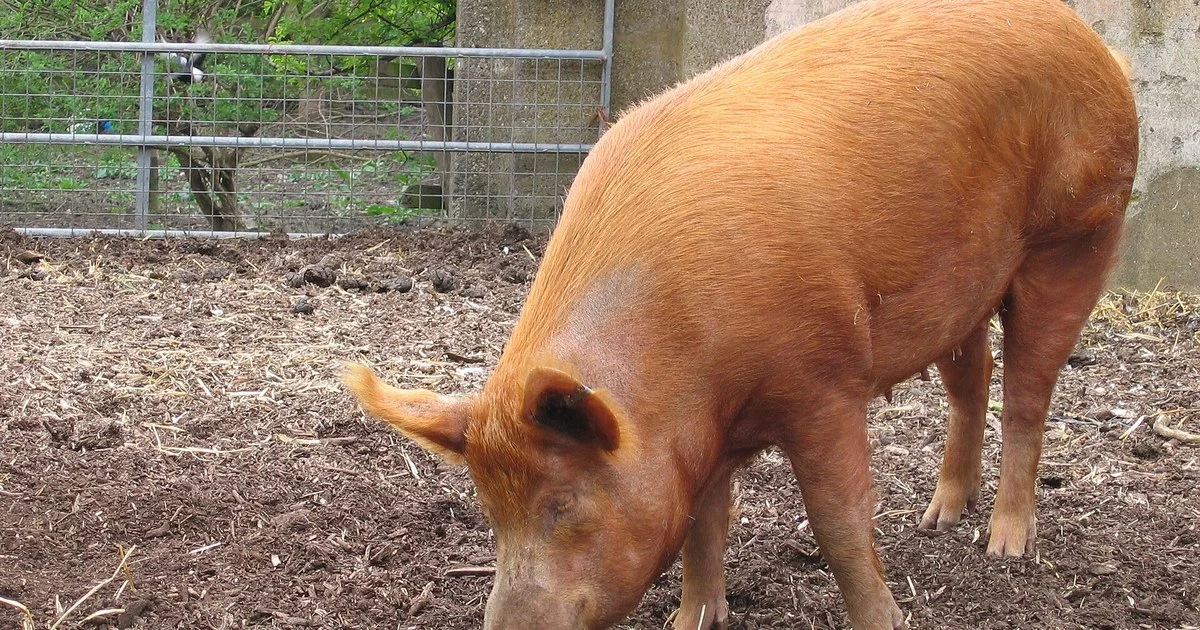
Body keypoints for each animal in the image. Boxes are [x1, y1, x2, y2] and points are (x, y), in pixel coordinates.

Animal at [342, 0, 1138, 627]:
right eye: (489, 510)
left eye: (562, 505)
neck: (690, 374)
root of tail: (1091, 39)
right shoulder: (703, 436)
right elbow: (702, 524)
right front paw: (692, 620)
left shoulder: (823, 381)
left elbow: (839, 522)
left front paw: (882, 618)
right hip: (964, 286)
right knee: (971, 381)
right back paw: (939, 518)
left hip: (1078, 234)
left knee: (1028, 392)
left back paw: (1004, 546)